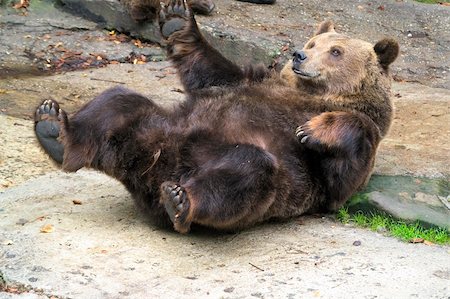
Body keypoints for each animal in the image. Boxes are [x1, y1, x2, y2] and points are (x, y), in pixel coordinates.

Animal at [34, 0, 398, 234]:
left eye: (336, 51)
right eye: (312, 42)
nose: (299, 55)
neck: (316, 94)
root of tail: (156, 169)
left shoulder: (332, 164)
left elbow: (343, 173)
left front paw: (313, 130)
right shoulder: (252, 81)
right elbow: (211, 70)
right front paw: (177, 18)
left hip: (266, 175)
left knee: (248, 170)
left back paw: (181, 200)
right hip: (156, 126)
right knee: (118, 103)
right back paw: (55, 129)